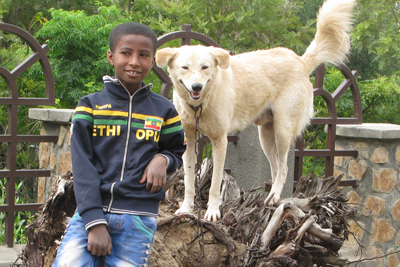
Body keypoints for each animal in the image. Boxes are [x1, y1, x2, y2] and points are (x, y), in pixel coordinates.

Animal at [156, 0, 356, 222]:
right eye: (185, 67)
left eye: (205, 67)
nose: (197, 87)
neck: (200, 106)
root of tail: (301, 61)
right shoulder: (189, 142)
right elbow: (190, 181)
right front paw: (186, 208)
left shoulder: (220, 141)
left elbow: (215, 184)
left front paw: (213, 211)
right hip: (266, 137)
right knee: (276, 168)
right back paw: (270, 197)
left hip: (283, 130)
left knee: (284, 169)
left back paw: (274, 196)